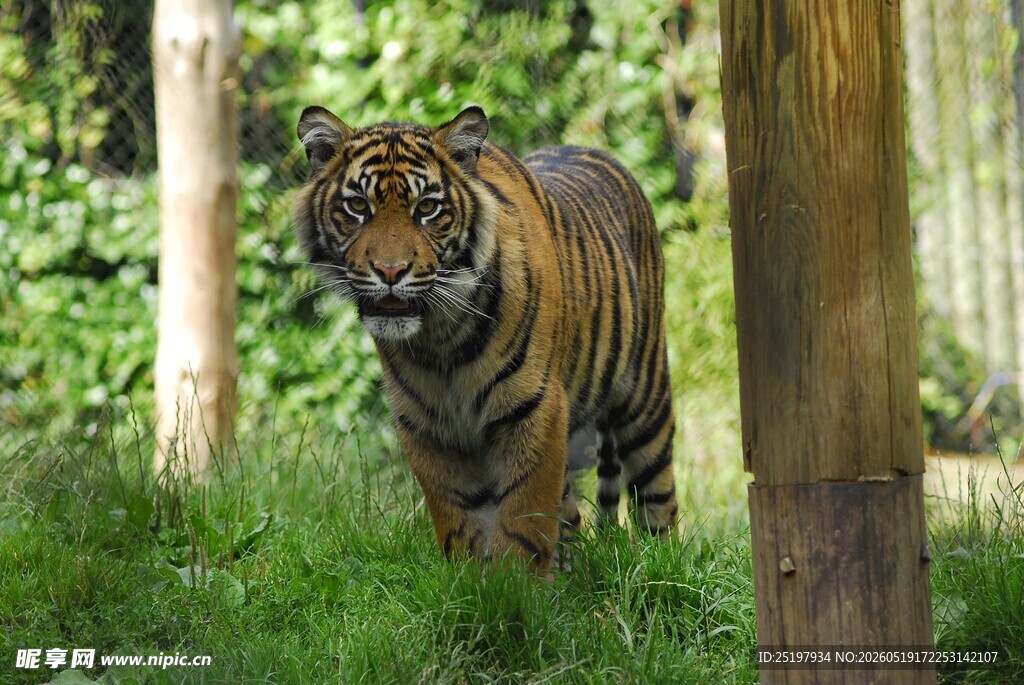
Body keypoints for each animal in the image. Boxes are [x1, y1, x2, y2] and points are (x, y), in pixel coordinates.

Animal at [293, 105, 677, 574]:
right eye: (357, 206)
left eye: (427, 208)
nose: (390, 271)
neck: (441, 336)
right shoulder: (425, 423)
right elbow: (459, 516)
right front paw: (474, 581)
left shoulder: (535, 407)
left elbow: (523, 514)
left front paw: (515, 586)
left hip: (645, 398)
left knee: (658, 499)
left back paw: (662, 569)